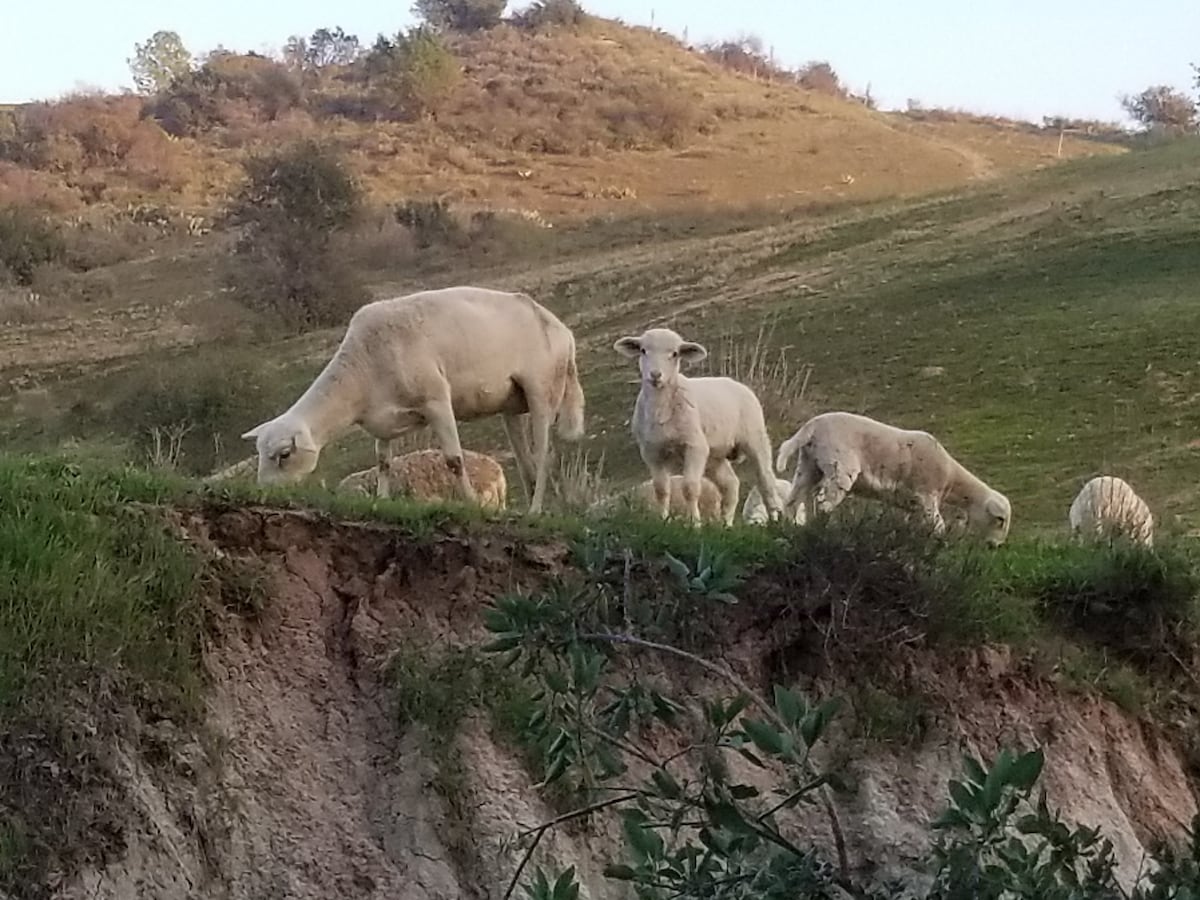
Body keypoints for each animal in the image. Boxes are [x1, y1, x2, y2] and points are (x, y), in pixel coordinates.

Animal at [614, 328, 782, 528]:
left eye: (675, 354)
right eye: (643, 350)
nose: (655, 375)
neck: (661, 408)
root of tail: (735, 383)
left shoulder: (694, 446)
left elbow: (690, 488)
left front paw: (695, 525)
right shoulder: (651, 451)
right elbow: (661, 489)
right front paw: (663, 520)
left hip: (754, 436)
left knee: (765, 480)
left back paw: (774, 519)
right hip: (714, 455)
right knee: (731, 485)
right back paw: (726, 525)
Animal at [777, 412, 1012, 547]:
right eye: (1000, 520)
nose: (995, 547)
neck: (951, 479)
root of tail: (812, 427)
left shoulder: (912, 504)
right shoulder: (926, 494)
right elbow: (938, 525)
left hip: (809, 465)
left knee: (792, 500)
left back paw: (791, 528)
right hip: (840, 466)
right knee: (824, 503)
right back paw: (825, 531)